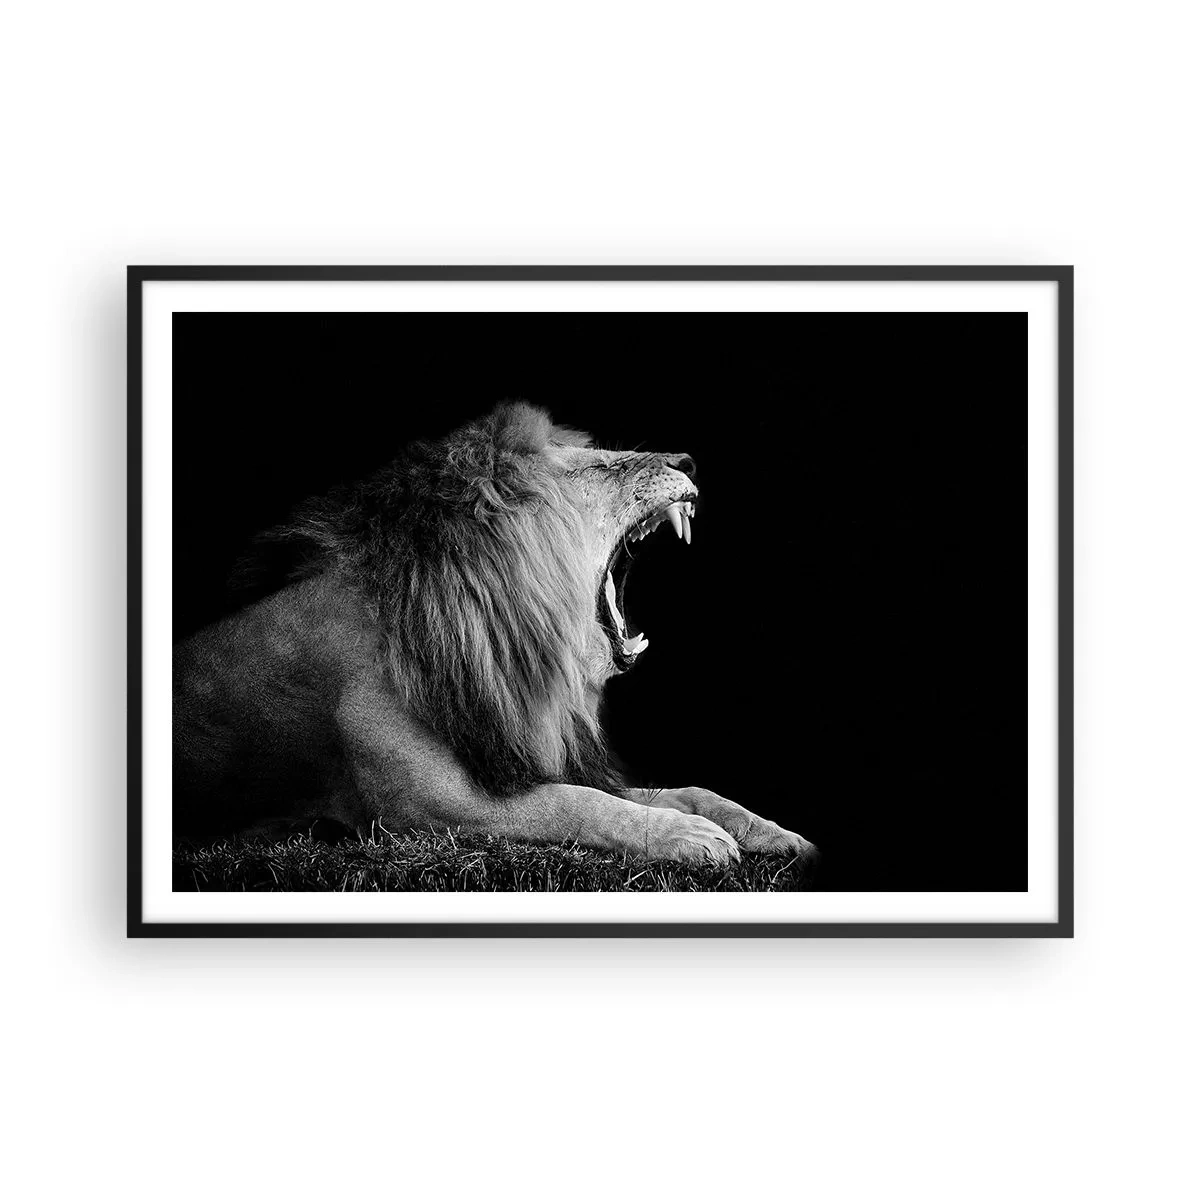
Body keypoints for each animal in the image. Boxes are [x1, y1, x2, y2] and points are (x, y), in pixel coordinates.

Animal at [173, 402, 818, 869]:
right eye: (599, 466)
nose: (688, 461)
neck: (494, 645)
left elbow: (682, 790)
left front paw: (770, 831)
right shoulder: (426, 809)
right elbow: (579, 805)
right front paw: (689, 836)